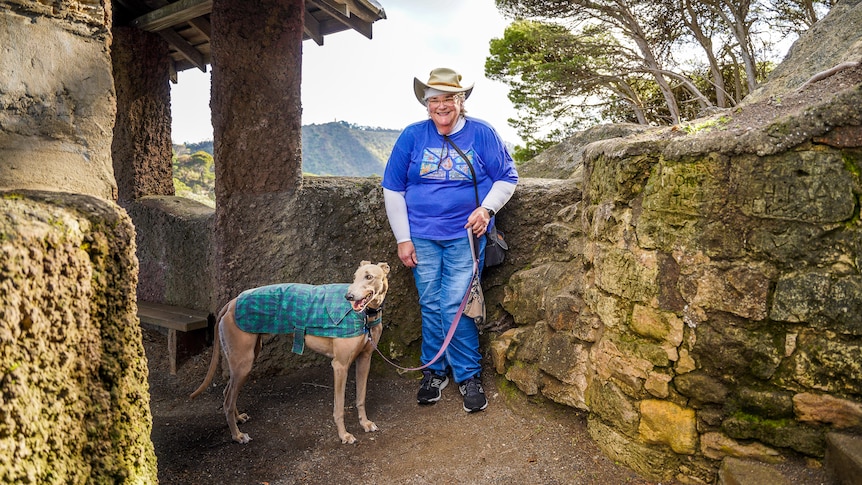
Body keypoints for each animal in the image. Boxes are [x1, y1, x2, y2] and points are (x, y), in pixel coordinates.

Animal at [192, 260, 392, 442]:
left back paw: (238, 418)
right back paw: (237, 435)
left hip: (245, 360)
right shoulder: (340, 366)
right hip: (243, 363)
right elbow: (339, 407)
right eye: (354, 277)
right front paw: (344, 435)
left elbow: (361, 397)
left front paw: (365, 423)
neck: (367, 315)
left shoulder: (364, 359)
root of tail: (231, 303)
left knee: (227, 393)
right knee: (227, 400)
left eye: (369, 276)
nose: (348, 296)